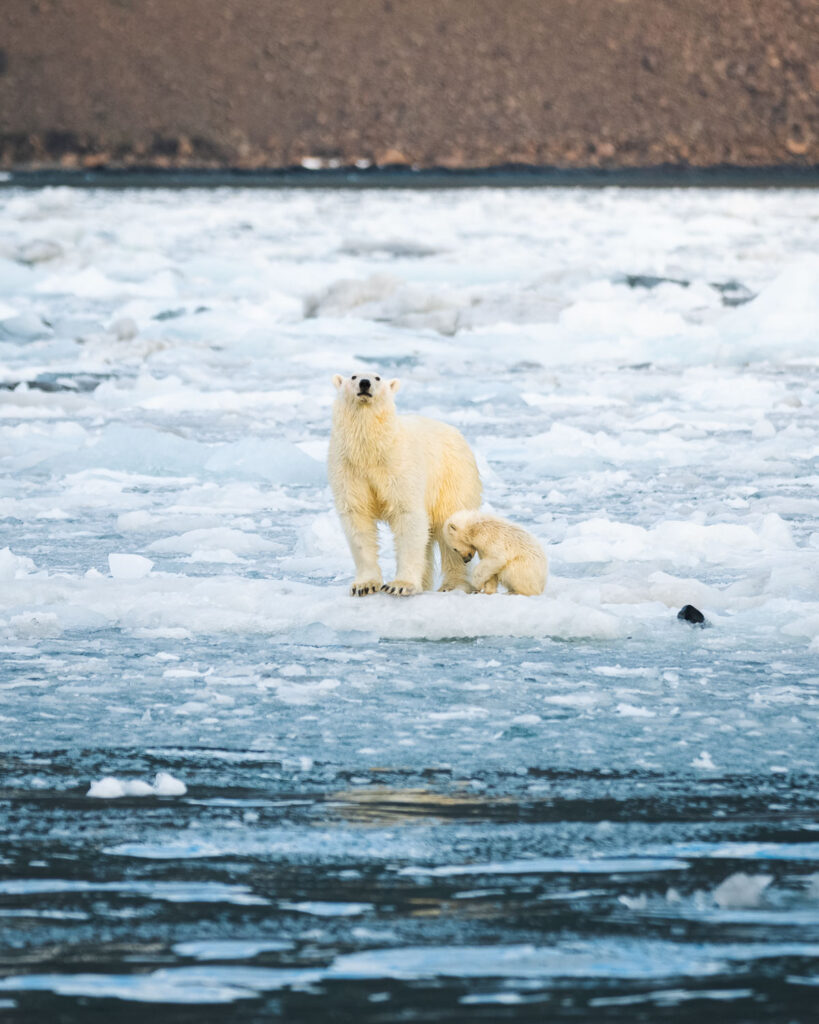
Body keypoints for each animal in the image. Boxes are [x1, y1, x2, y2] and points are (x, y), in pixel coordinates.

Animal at [327, 374, 479, 598]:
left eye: (377, 377)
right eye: (353, 376)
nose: (365, 383)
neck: (371, 452)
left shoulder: (399, 466)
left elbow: (407, 515)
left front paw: (400, 585)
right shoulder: (349, 470)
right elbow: (358, 520)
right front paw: (364, 586)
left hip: (452, 478)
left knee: (450, 522)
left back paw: (453, 585)